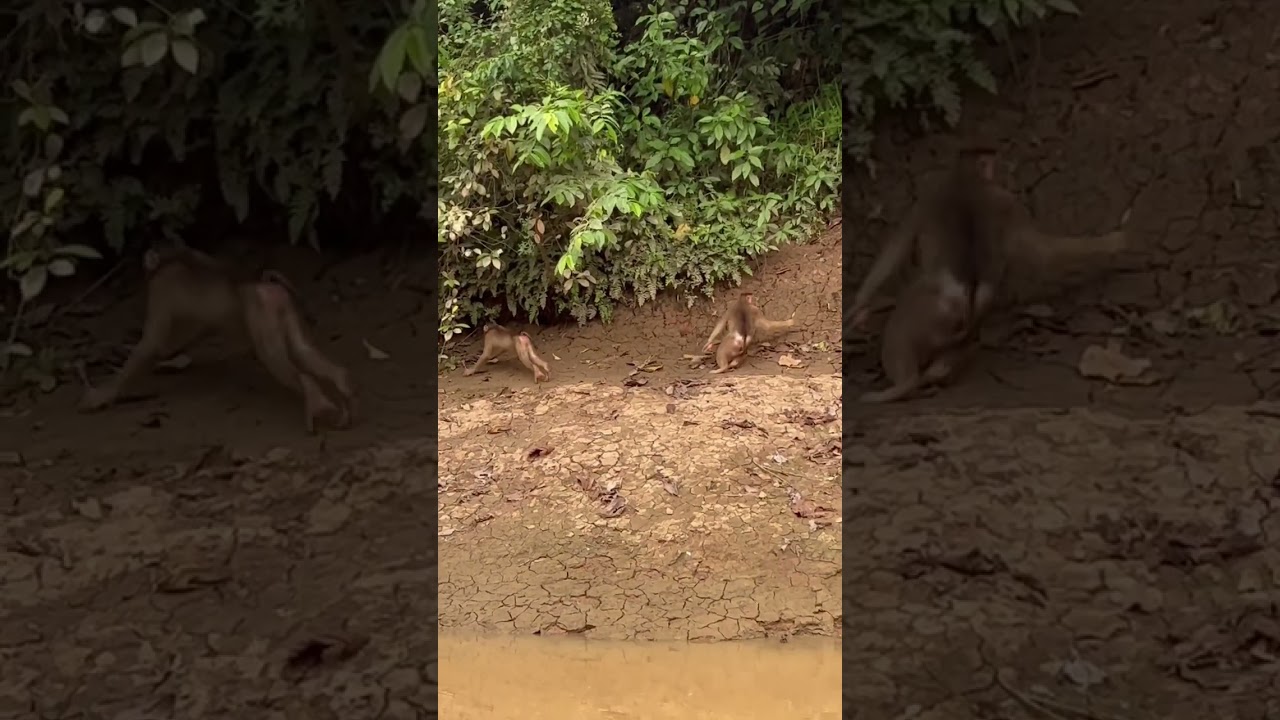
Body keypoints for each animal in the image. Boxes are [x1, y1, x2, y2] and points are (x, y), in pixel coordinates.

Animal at [78, 246, 355, 433]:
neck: (171, 259)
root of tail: (266, 285)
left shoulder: (160, 290)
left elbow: (151, 344)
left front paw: (102, 394)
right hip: (284, 309)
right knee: (303, 350)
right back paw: (340, 380)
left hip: (260, 313)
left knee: (277, 360)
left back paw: (314, 396)